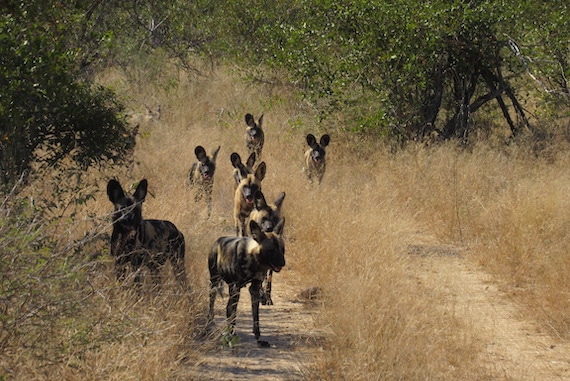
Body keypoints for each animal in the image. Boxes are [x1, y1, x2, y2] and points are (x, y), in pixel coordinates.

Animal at [206, 215, 284, 346]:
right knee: (215, 305)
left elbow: (256, 317)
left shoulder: (255, 289)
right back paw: (211, 323)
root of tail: (217, 241)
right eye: (271, 250)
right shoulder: (236, 288)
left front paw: (258, 338)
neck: (253, 260)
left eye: (283, 250)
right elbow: (232, 313)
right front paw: (231, 336)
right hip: (215, 283)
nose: (283, 263)